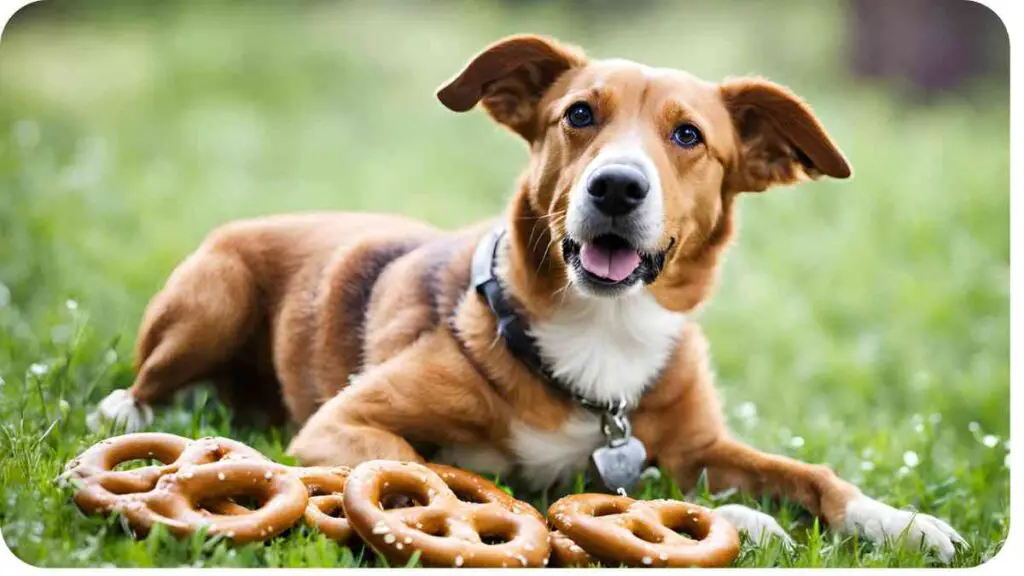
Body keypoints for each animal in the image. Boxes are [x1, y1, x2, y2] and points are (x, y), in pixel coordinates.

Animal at [86, 33, 958, 557]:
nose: (616, 187)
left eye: (688, 136)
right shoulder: (344, 425)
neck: (602, 331)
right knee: (148, 380)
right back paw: (128, 411)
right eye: (579, 114)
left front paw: (900, 522)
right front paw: (745, 521)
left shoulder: (697, 448)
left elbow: (814, 475)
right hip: (214, 294)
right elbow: (467, 485)